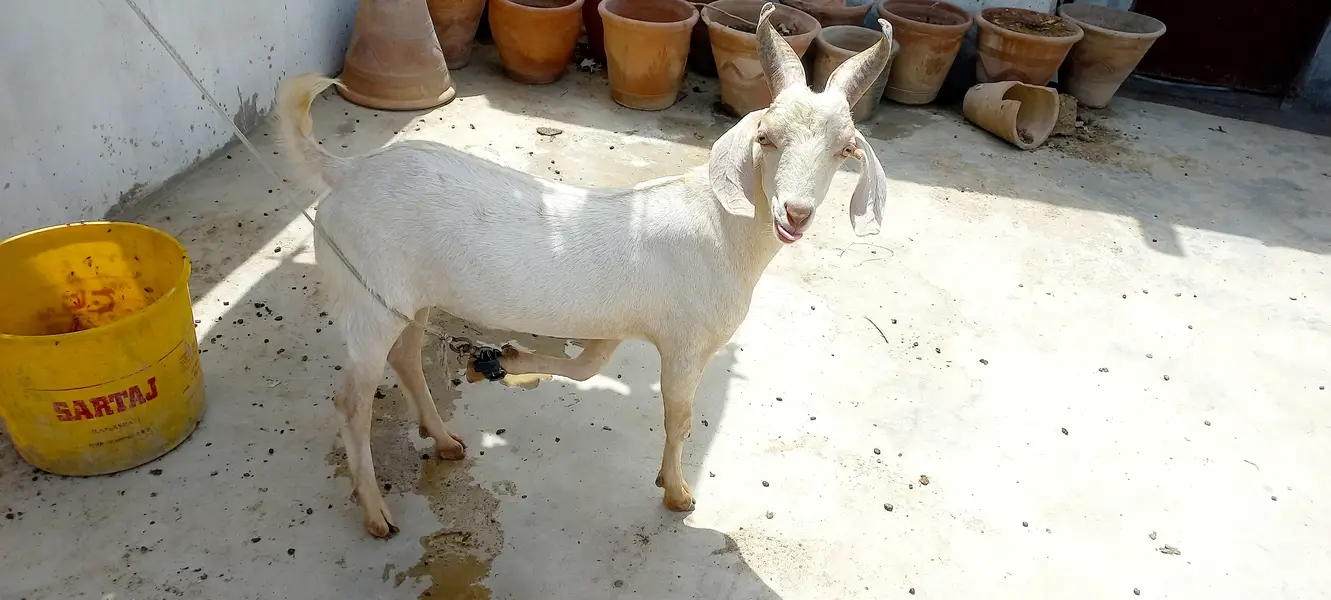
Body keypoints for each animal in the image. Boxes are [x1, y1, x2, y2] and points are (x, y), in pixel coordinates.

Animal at [275, 3, 893, 538]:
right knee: (352, 401)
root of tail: (346, 173)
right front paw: (677, 493)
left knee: (404, 357)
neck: (722, 225)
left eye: (845, 149)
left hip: (405, 297)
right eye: (765, 137)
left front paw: (506, 361)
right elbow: (680, 417)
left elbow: (585, 367)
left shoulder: (617, 325)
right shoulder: (685, 343)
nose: (796, 213)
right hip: (366, 299)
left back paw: (444, 439)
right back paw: (376, 513)